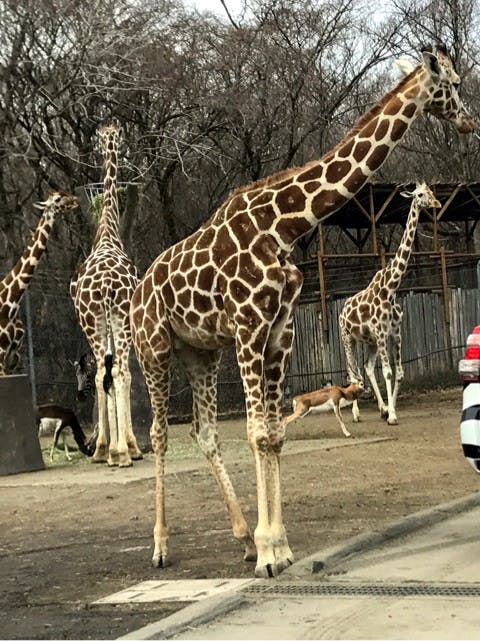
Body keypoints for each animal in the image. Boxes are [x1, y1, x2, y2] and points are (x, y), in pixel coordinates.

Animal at [340, 182, 440, 428]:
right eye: (419, 194)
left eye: (431, 192)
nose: (436, 204)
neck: (391, 288)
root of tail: (342, 309)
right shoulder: (381, 333)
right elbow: (387, 372)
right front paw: (393, 415)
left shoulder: (394, 333)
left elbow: (399, 372)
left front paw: (390, 410)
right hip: (348, 339)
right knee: (352, 370)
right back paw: (356, 413)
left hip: (369, 342)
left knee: (366, 367)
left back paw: (381, 408)